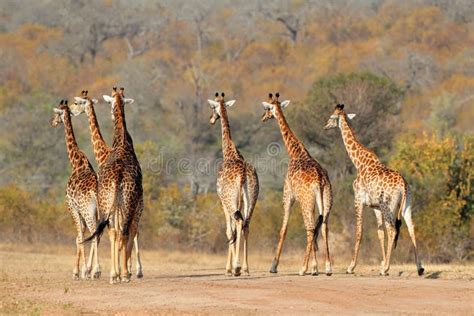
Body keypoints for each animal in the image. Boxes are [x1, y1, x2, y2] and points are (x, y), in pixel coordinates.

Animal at [50, 99, 100, 278]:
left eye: (57, 113)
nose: (52, 122)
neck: (76, 163)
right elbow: (81, 236)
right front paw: (81, 270)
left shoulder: (71, 206)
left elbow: (78, 237)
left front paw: (79, 272)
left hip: (87, 210)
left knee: (94, 234)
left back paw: (95, 271)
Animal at [71, 90, 143, 278]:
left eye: (77, 103)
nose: (72, 111)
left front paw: (92, 270)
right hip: (129, 202)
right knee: (129, 230)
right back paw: (128, 272)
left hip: (111, 204)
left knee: (112, 231)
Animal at [207, 92, 260, 276]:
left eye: (212, 107)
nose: (211, 119)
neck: (230, 152)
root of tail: (243, 175)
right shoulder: (240, 202)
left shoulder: (223, 201)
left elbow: (229, 231)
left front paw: (228, 268)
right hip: (251, 199)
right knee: (246, 224)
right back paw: (246, 268)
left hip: (231, 201)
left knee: (237, 223)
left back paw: (236, 268)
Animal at [262, 92, 334, 276]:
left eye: (267, 109)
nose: (263, 118)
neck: (295, 152)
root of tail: (320, 180)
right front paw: (316, 266)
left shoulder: (288, 195)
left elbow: (283, 228)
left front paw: (273, 266)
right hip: (325, 201)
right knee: (323, 227)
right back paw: (327, 267)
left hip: (305, 202)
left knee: (310, 228)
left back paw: (303, 269)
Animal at [324, 104, 424, 276]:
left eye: (331, 117)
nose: (325, 126)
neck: (359, 162)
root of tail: (403, 185)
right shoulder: (375, 207)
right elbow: (379, 233)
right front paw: (381, 263)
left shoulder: (358, 200)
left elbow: (359, 231)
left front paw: (351, 267)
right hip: (406, 205)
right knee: (411, 227)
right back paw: (419, 268)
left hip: (388, 206)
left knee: (393, 230)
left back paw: (387, 269)